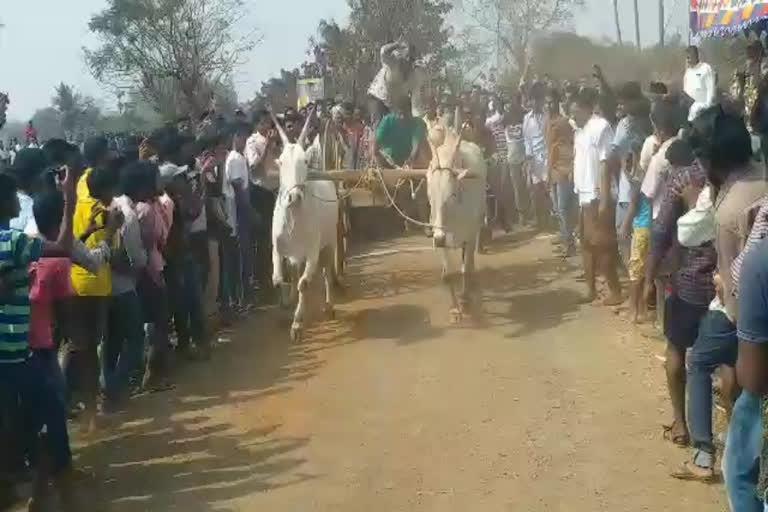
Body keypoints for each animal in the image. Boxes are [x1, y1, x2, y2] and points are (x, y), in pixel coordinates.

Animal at [272, 112, 340, 344]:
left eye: (305, 161)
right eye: (281, 162)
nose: (293, 196)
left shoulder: (312, 252)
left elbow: (305, 284)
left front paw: (297, 324)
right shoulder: (277, 249)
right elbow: (278, 281)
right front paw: (285, 307)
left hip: (330, 243)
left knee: (327, 273)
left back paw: (329, 305)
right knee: (294, 272)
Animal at [426, 122, 486, 322]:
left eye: (452, 195)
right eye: (430, 195)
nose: (438, 238)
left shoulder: (468, 236)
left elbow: (464, 270)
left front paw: (465, 303)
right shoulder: (442, 240)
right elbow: (449, 274)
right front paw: (454, 309)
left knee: (469, 262)